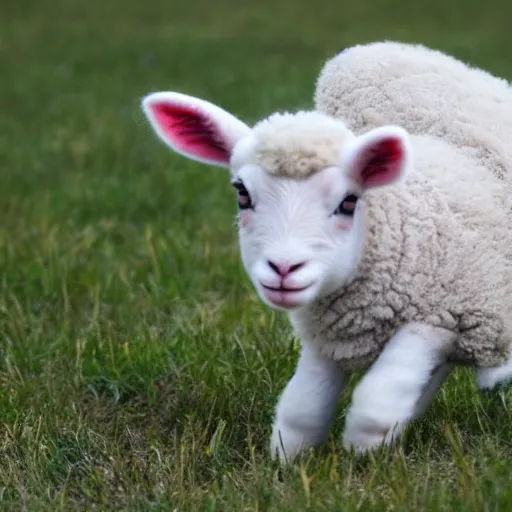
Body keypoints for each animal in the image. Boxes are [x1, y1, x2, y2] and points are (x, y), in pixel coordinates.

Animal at [141, 85, 512, 464]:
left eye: (348, 202)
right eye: (242, 194)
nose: (284, 268)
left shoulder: (440, 314)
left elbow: (375, 400)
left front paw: (364, 454)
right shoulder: (326, 334)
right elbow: (301, 408)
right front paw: (289, 461)